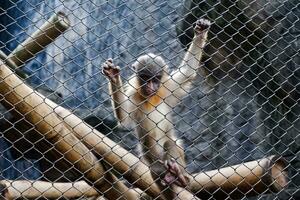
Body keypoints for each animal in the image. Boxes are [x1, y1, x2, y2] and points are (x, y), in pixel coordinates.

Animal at [103, 18, 211, 198]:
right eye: (145, 78)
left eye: (155, 79)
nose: (150, 87)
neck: (150, 98)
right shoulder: (134, 95)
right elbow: (123, 117)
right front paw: (113, 76)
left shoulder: (167, 88)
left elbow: (187, 72)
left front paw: (200, 32)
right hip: (155, 164)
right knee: (156, 171)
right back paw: (171, 177)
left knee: (170, 143)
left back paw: (180, 177)